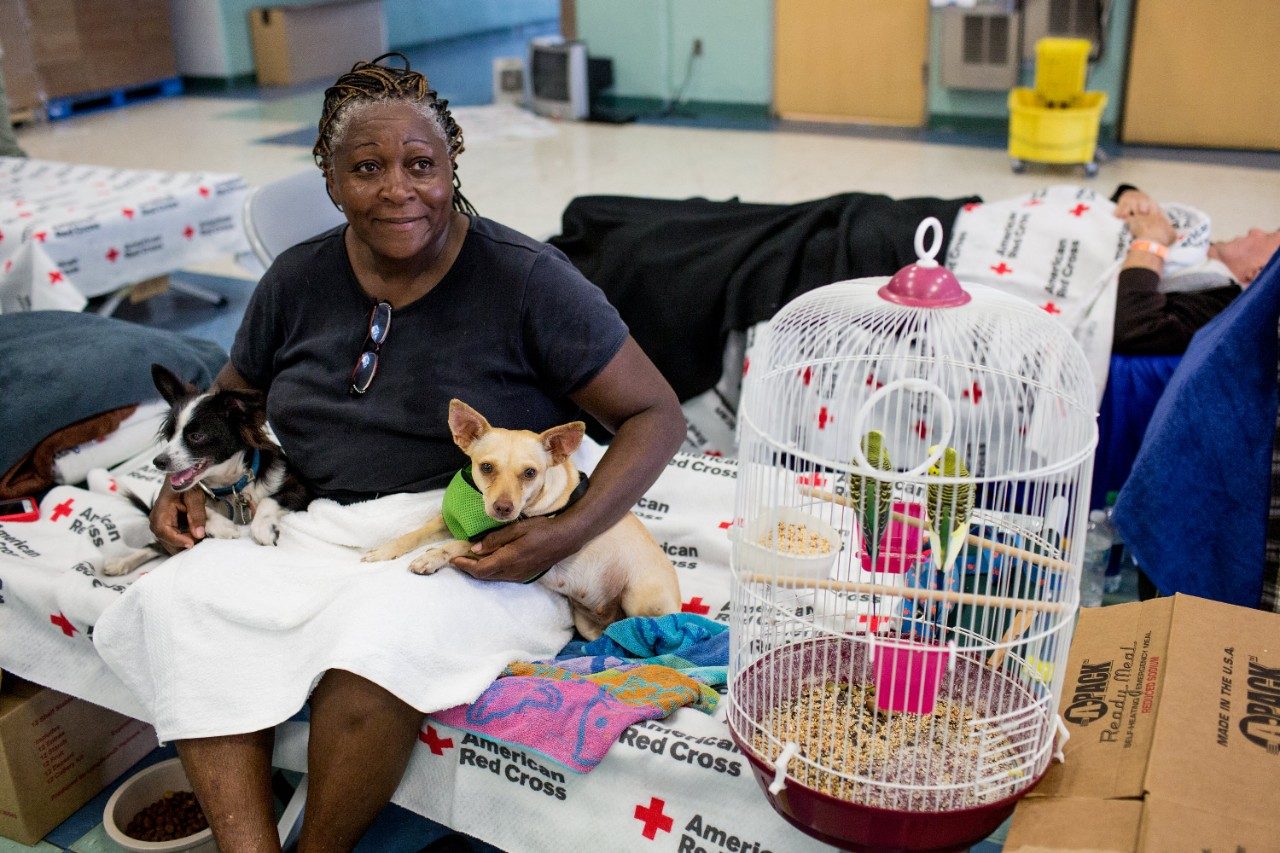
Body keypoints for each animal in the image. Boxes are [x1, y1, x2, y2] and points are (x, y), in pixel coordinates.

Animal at [103, 361, 313, 573]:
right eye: (168, 435)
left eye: (196, 436)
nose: (158, 462)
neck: (229, 486)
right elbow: (195, 511)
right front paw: (222, 526)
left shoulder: (300, 489)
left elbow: (268, 500)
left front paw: (262, 527)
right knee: (154, 546)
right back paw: (120, 563)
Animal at [363, 399, 680, 637]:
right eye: (486, 467)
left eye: (530, 473)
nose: (503, 508)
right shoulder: (447, 522)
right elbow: (413, 534)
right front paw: (384, 550)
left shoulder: (495, 542)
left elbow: (459, 545)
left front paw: (431, 557)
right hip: (586, 623)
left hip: (639, 598)